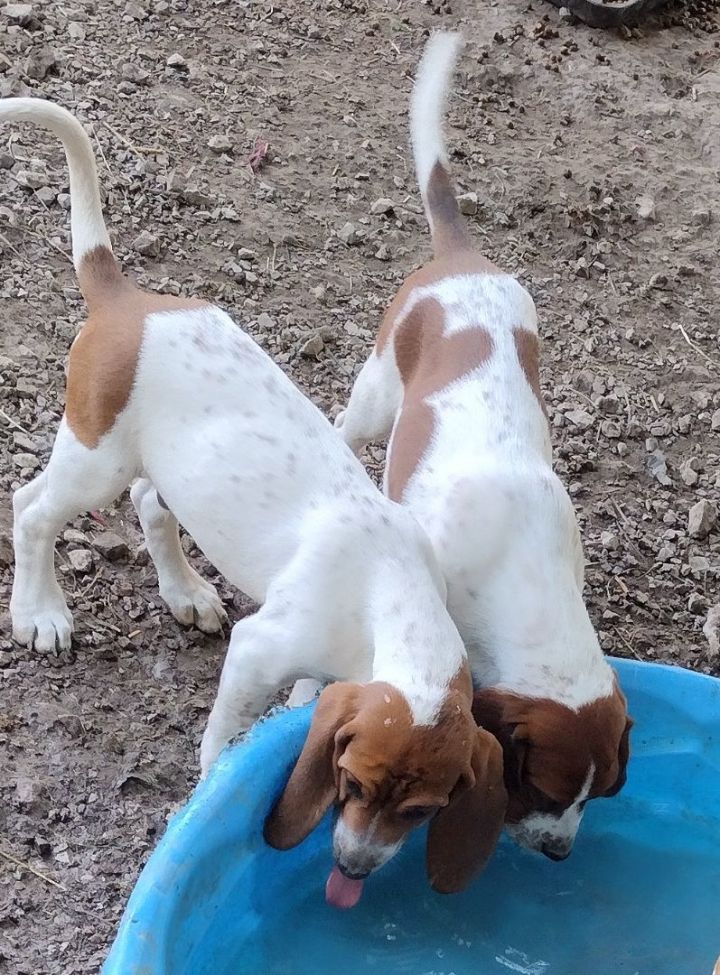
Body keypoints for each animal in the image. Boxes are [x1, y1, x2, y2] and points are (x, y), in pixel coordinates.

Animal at [1, 99, 506, 908]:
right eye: (353, 785)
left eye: (422, 811)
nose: (353, 870)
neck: (391, 592)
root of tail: (128, 300)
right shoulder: (257, 650)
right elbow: (223, 735)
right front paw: (210, 784)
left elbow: (310, 690)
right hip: (93, 459)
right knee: (31, 509)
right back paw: (40, 612)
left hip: (161, 468)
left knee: (150, 507)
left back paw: (185, 592)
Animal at [334, 32, 632, 860]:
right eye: (549, 789)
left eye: (600, 795)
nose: (559, 850)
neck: (522, 563)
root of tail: (463, 257)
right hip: (376, 393)